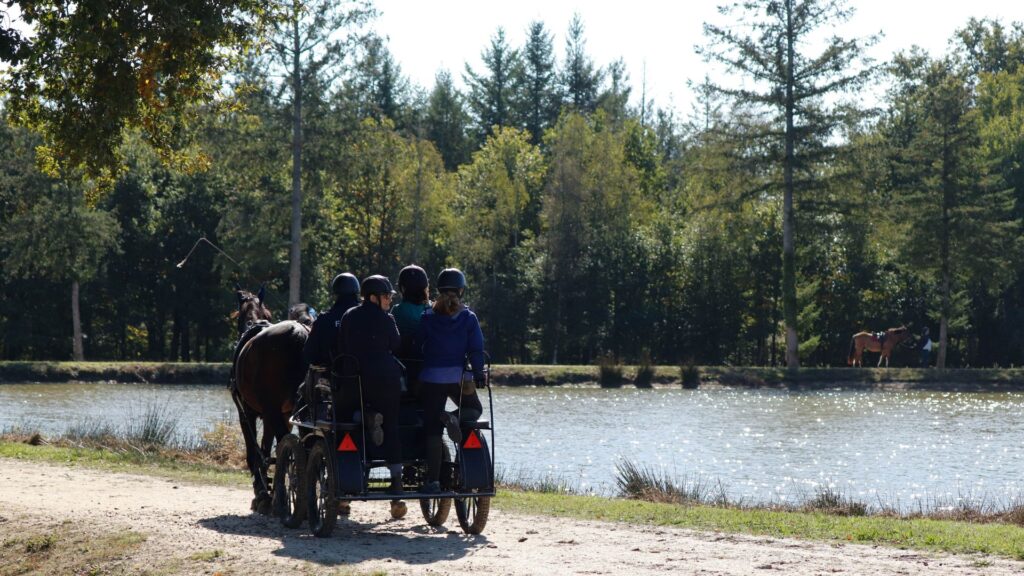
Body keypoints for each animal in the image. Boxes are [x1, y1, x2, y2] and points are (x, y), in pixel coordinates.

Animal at [231, 286, 307, 510]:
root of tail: (296, 333)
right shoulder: (283, 414)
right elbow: (266, 448)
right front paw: (267, 486)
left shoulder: (247, 412)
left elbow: (255, 452)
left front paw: (262, 489)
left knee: (284, 447)